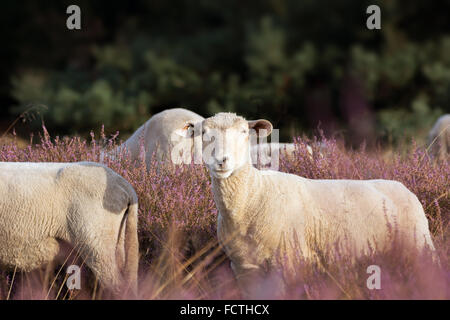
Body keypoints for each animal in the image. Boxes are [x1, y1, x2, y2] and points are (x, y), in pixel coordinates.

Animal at [200, 112, 436, 298]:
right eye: (204, 133)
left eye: (243, 132)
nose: (221, 160)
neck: (254, 197)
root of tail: (402, 186)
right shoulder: (244, 267)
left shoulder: (289, 263)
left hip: (420, 245)